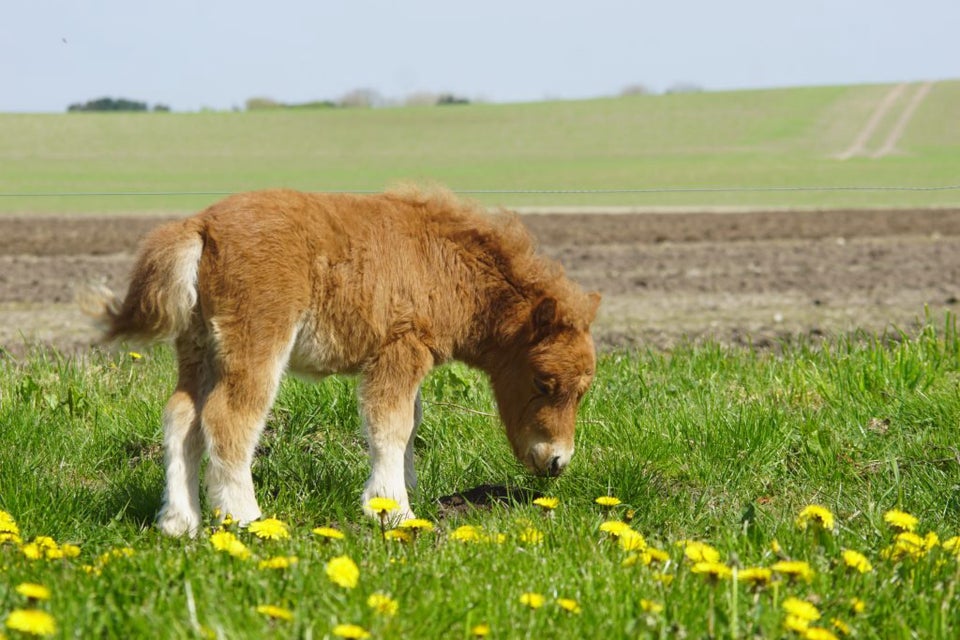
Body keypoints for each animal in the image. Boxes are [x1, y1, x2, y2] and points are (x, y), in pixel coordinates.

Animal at [86, 186, 604, 536]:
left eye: (582, 391)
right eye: (543, 381)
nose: (556, 461)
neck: (439, 261)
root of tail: (201, 226)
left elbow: (409, 424)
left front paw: (403, 492)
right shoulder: (399, 349)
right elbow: (391, 425)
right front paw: (393, 511)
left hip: (197, 348)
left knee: (181, 417)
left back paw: (180, 522)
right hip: (256, 340)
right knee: (228, 418)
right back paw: (246, 517)